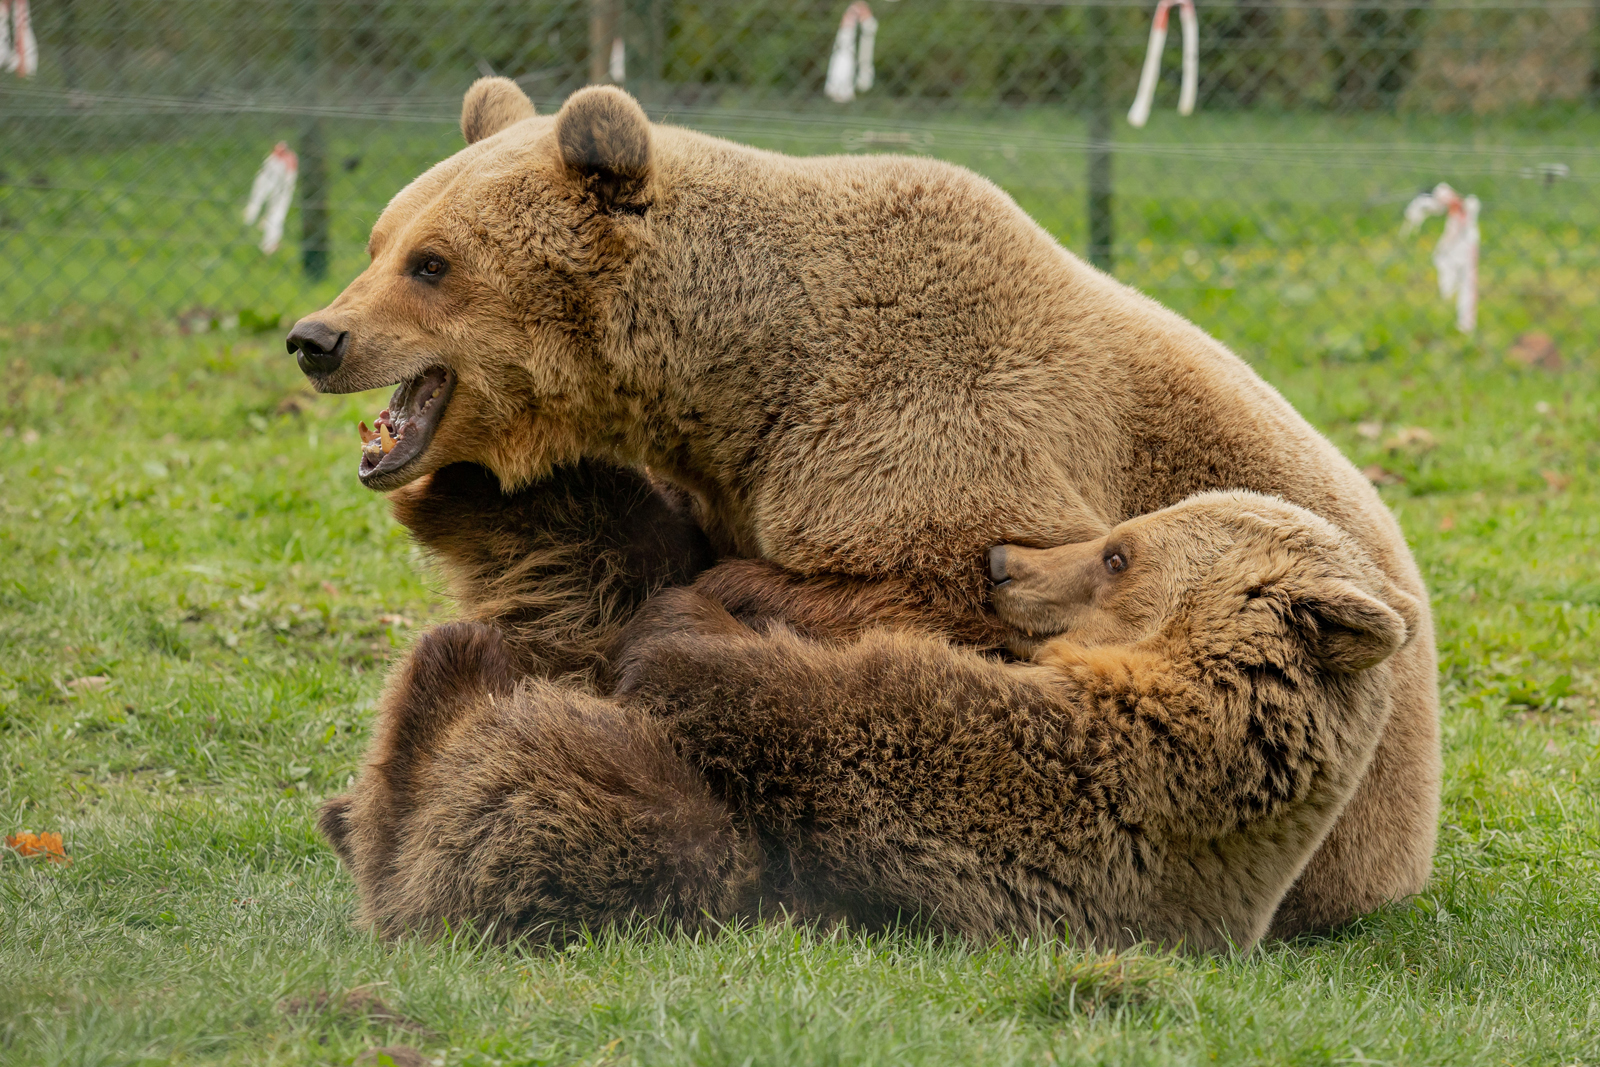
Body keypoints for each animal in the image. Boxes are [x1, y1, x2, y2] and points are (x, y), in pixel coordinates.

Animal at [294, 77, 1446, 934]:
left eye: (433, 262)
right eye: (378, 240)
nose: (316, 337)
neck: (743, 378)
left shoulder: (944, 420)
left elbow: (935, 601)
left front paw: (734, 603)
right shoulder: (733, 470)